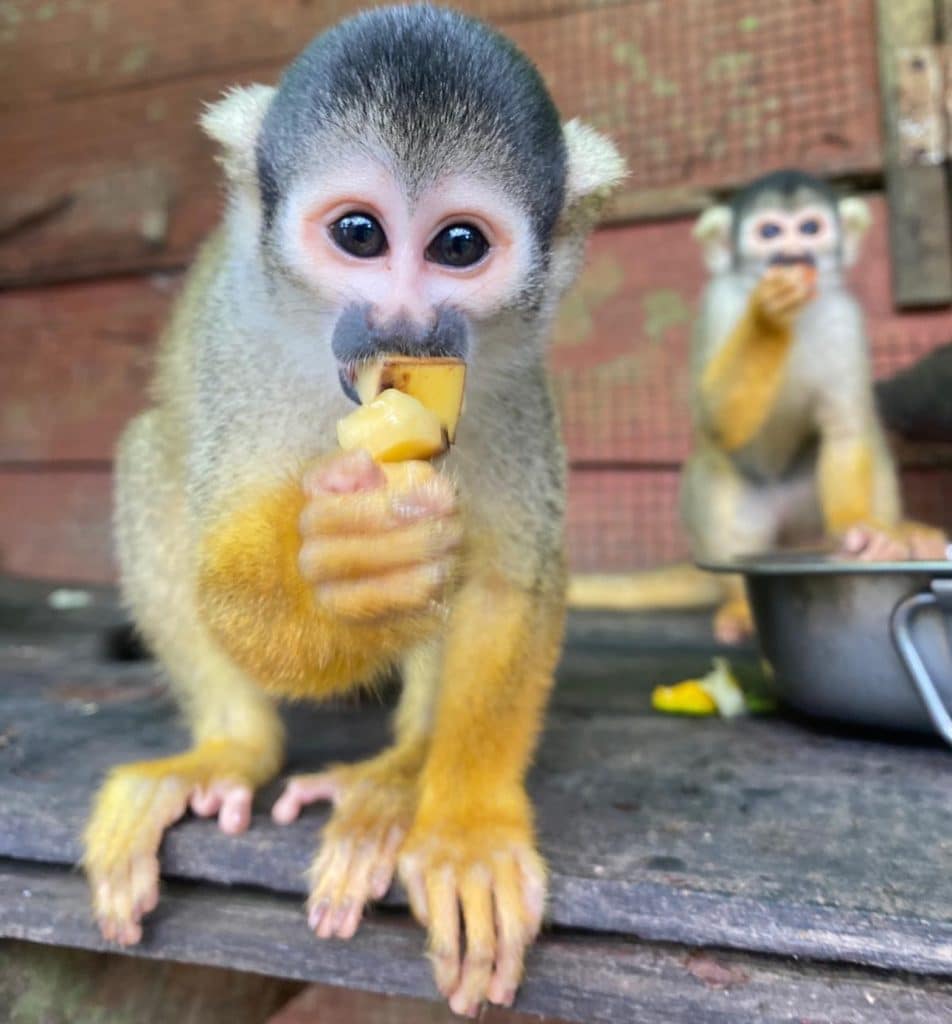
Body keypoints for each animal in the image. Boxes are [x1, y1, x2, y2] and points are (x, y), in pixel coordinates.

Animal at [81, 6, 624, 1016]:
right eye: (360, 234)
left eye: (459, 246)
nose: (401, 328)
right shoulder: (237, 348)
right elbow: (228, 587)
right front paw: (341, 573)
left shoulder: (506, 378)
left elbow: (506, 583)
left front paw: (466, 827)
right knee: (149, 455)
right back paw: (232, 747)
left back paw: (401, 778)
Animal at [570, 169, 929, 642]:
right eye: (770, 232)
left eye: (810, 228)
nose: (792, 255)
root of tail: (793, 540)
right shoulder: (718, 303)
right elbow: (718, 422)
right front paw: (767, 318)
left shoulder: (845, 317)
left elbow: (846, 432)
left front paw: (864, 532)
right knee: (715, 473)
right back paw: (741, 603)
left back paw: (898, 536)